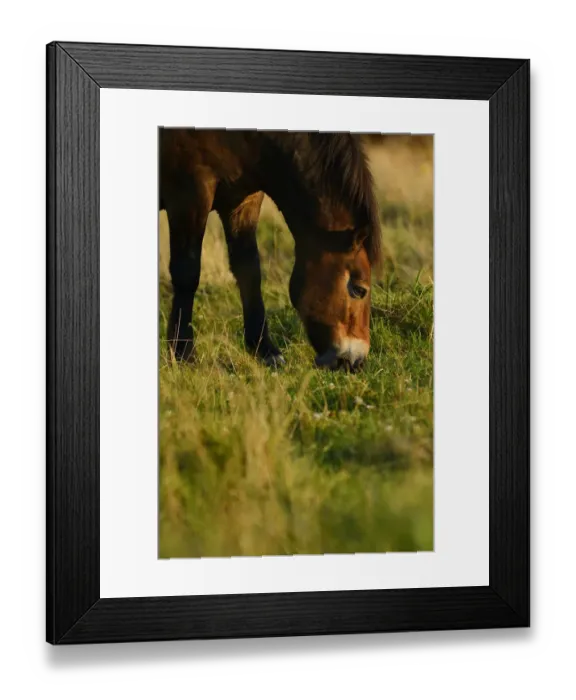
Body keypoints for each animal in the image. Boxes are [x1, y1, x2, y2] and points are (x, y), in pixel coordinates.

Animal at [159, 129, 382, 371]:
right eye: (359, 290)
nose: (355, 361)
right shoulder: (190, 193)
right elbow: (187, 274)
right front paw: (184, 353)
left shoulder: (243, 200)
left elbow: (249, 272)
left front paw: (265, 350)